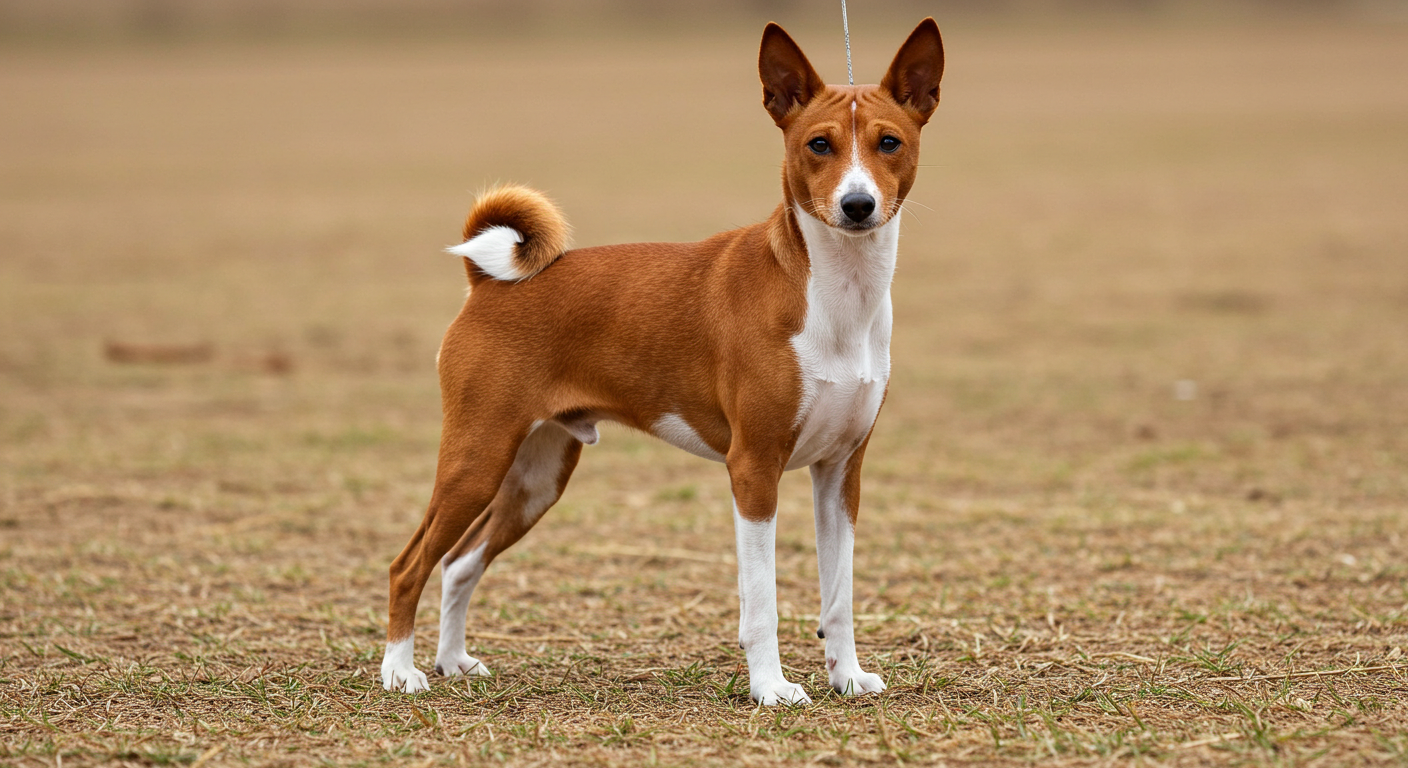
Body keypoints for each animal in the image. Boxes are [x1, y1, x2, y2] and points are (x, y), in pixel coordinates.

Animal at [380, 17, 940, 704]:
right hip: (476, 459)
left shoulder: (840, 472)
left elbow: (839, 596)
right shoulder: (753, 469)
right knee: (409, 564)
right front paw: (770, 688)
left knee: (459, 562)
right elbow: (762, 602)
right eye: (818, 145)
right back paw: (399, 671)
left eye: (889, 142)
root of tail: (485, 284)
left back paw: (452, 660)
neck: (836, 297)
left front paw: (847, 676)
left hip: (534, 476)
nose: (857, 204)